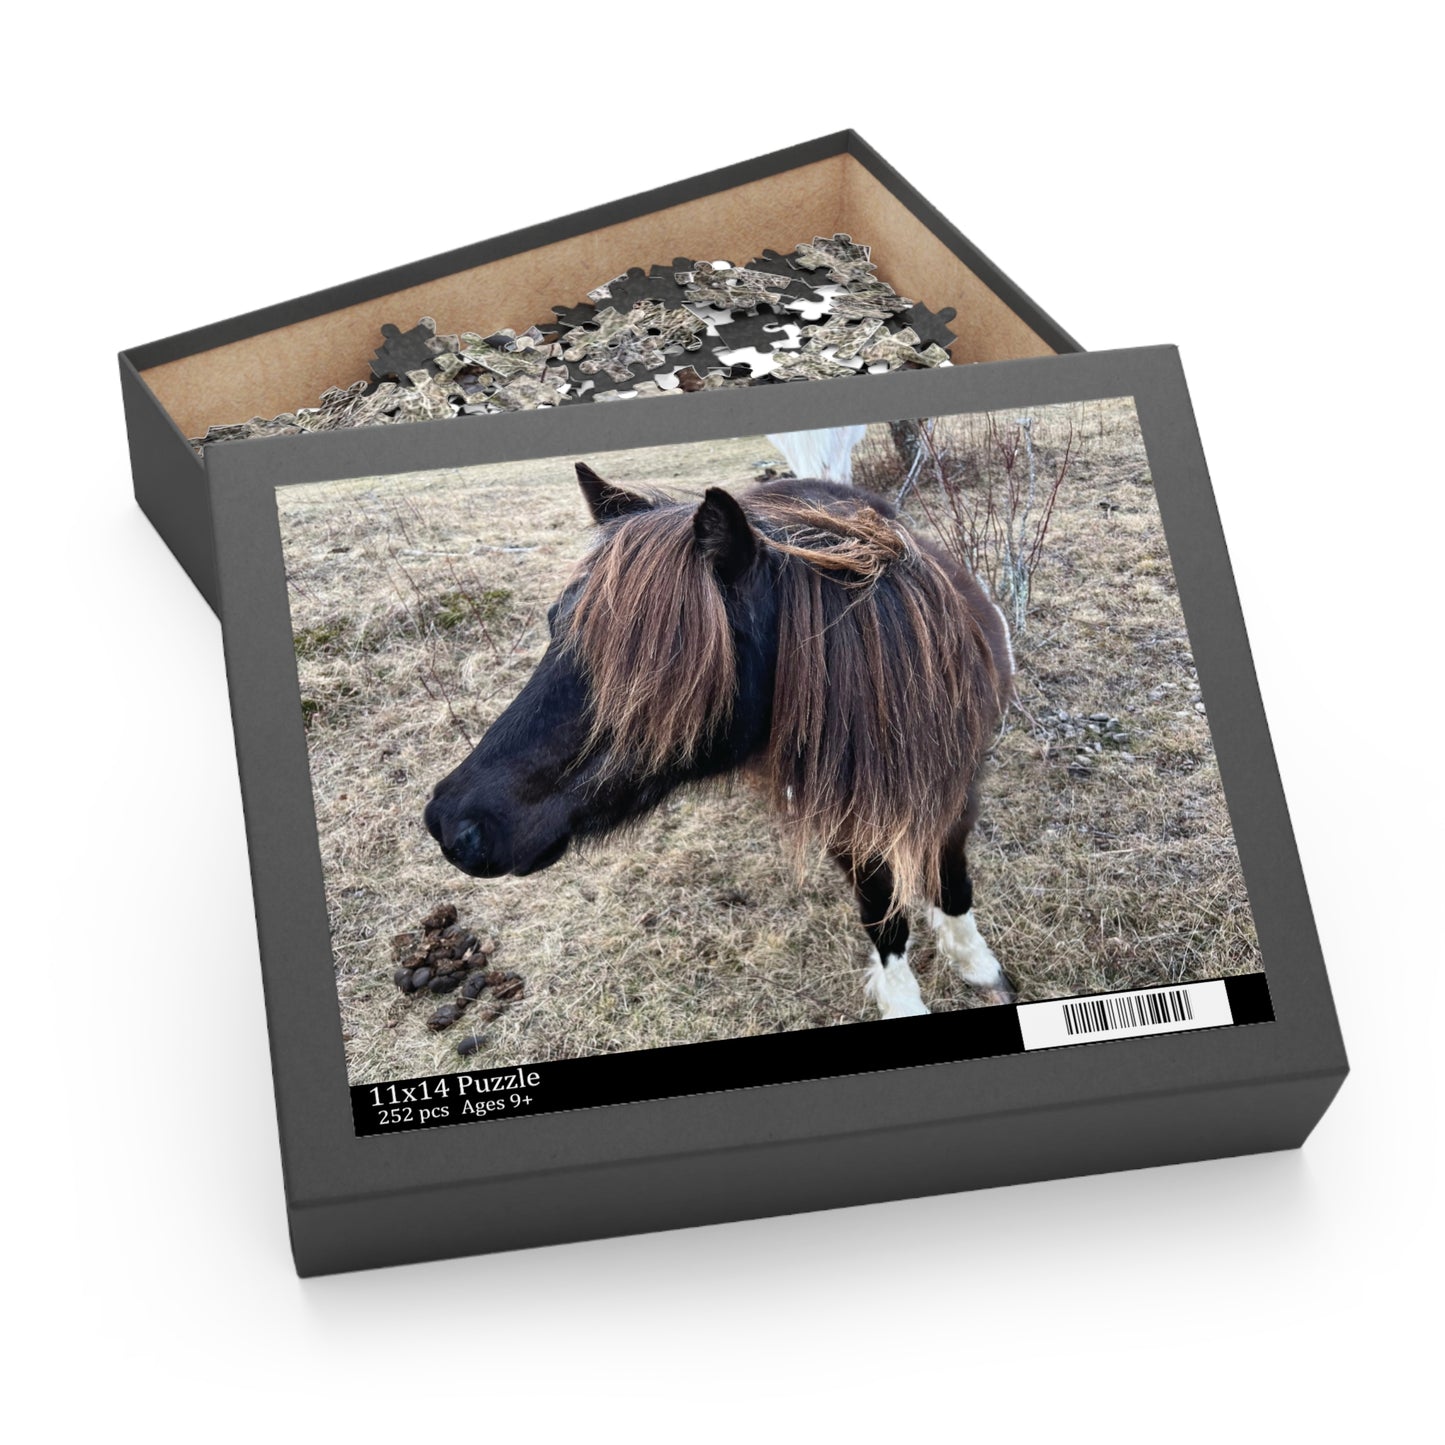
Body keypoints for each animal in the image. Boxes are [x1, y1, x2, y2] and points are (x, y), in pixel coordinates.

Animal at [423, 460, 1018, 1018]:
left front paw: (976, 963)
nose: (452, 824)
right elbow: (883, 913)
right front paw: (902, 1000)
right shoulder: (848, 826)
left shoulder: (959, 791)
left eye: (658, 675)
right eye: (553, 626)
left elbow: (951, 882)